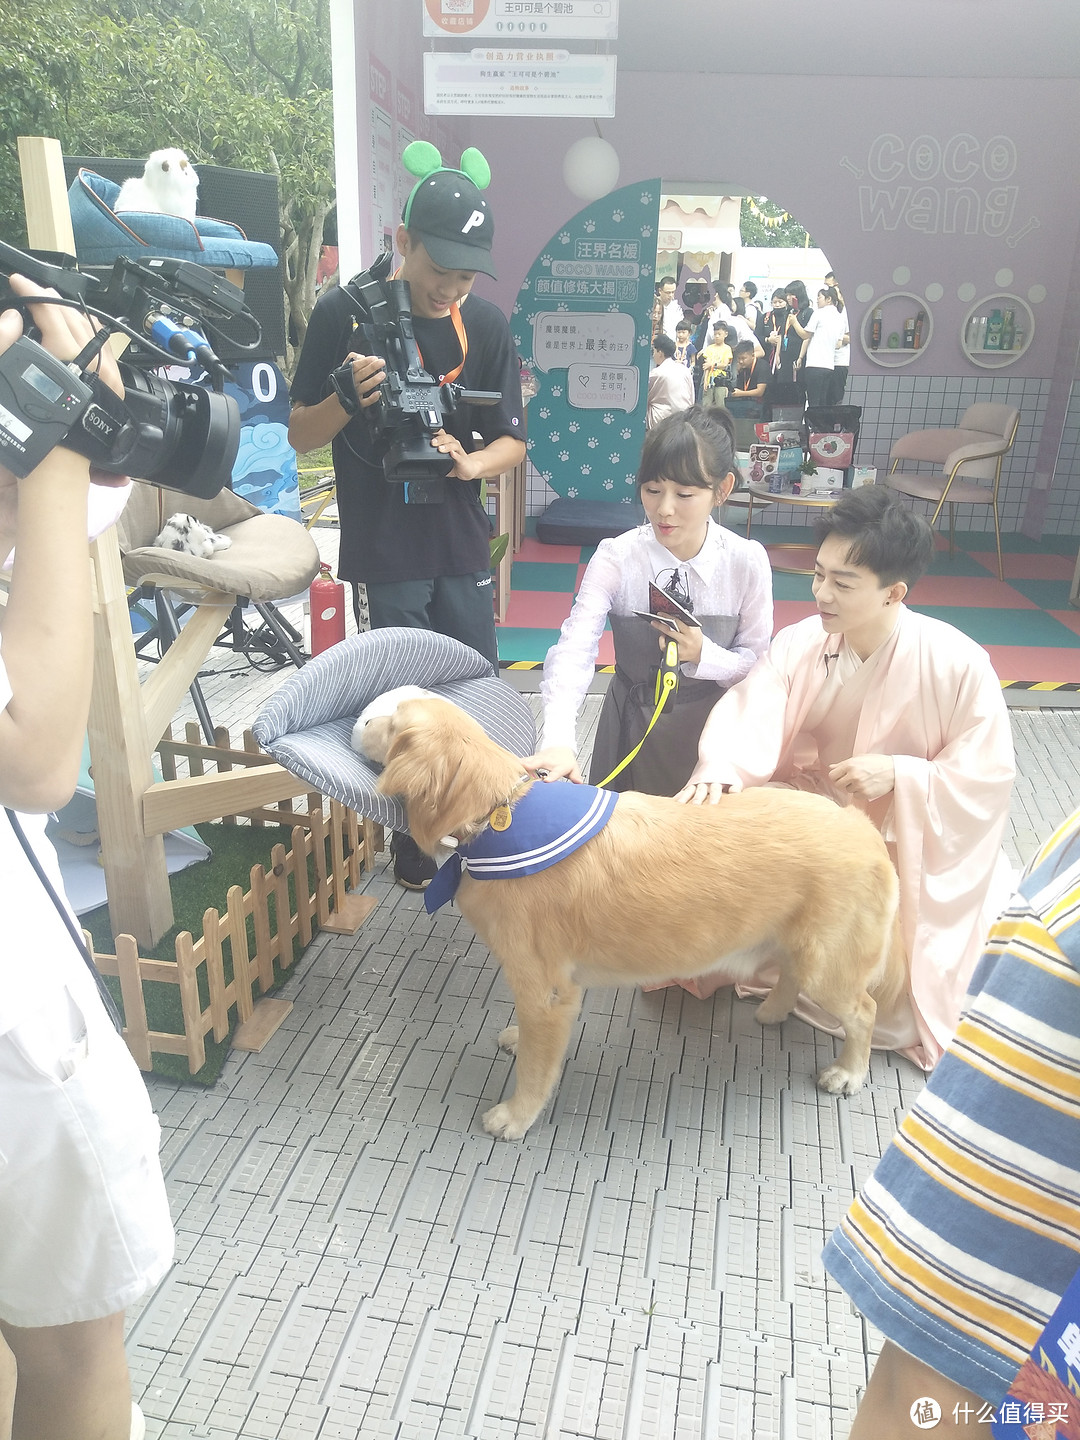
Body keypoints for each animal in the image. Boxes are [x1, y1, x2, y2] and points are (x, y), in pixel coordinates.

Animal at [377, 691, 910, 1140]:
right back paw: (773, 1010)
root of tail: (858, 823)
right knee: (791, 975)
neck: (498, 815)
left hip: (830, 967)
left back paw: (848, 1071)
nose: (363, 714)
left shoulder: (548, 992)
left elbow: (535, 1067)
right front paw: (516, 1042)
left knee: (864, 1011)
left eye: (390, 718)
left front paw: (517, 1115)